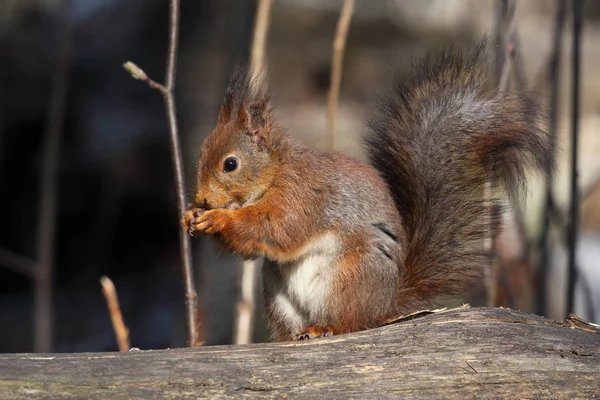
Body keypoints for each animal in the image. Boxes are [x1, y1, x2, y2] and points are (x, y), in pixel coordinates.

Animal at [182, 40, 552, 340]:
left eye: (230, 164)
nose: (201, 198)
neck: (276, 173)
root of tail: (386, 304)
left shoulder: (302, 196)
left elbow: (277, 228)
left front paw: (217, 219)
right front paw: (191, 216)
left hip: (348, 280)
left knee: (351, 323)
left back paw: (324, 328)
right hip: (278, 297)